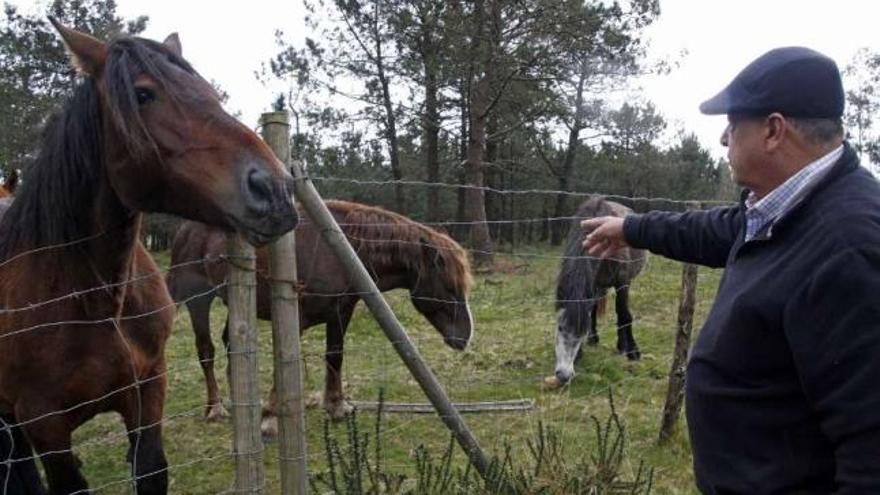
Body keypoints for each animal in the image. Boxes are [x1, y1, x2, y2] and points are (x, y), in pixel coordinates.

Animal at [0, 20, 296, 495]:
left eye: (207, 89)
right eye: (143, 94)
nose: (275, 189)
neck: (99, 301)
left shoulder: (149, 391)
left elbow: (152, 470)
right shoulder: (44, 425)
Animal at [168, 201, 478, 426]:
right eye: (450, 288)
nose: (464, 338)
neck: (340, 251)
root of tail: (185, 229)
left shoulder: (341, 311)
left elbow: (334, 356)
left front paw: (336, 406)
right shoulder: (296, 316)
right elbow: (285, 361)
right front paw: (271, 416)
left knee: (231, 345)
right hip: (197, 301)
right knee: (206, 350)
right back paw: (216, 408)